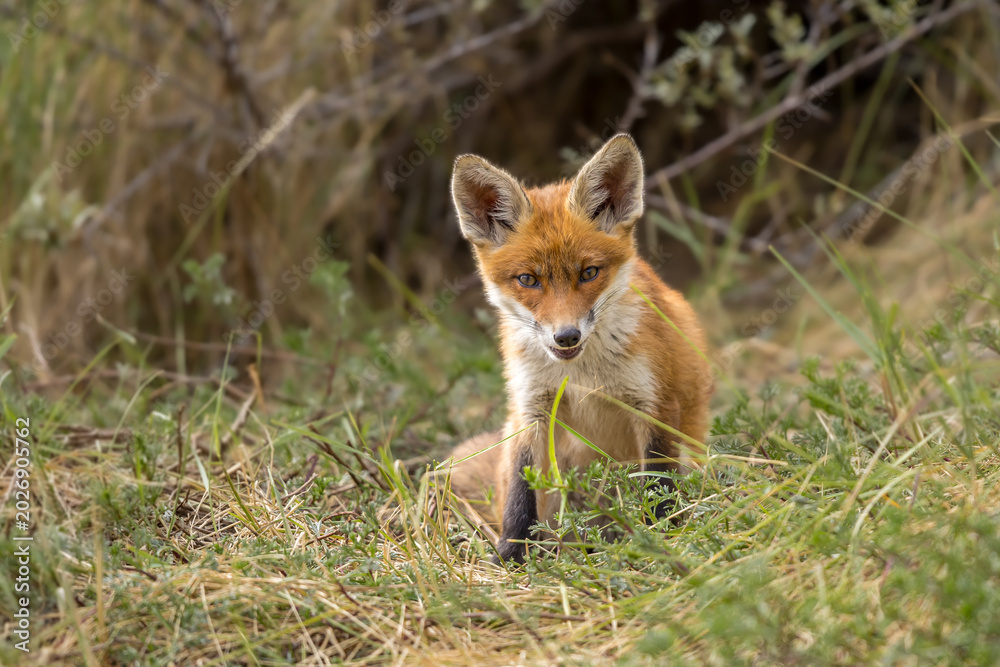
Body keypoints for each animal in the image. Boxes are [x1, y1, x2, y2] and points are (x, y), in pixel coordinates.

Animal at [447, 134, 712, 564]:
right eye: (528, 279)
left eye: (588, 273)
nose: (566, 336)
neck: (581, 375)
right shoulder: (530, 408)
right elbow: (520, 493)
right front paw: (511, 555)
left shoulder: (655, 403)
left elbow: (658, 483)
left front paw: (663, 537)